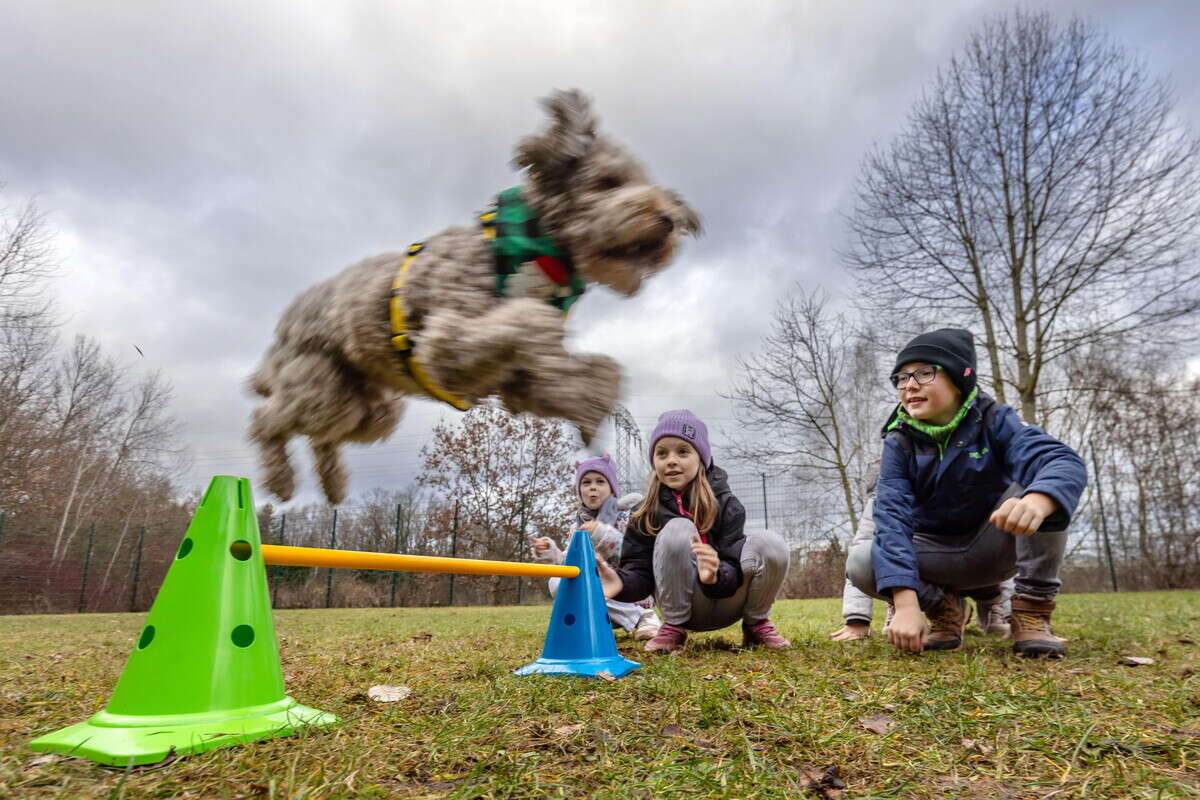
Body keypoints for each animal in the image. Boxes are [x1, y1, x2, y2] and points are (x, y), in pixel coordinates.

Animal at [250, 90, 700, 503]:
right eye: (608, 182)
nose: (669, 218)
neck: (534, 248)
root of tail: (284, 325)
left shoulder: (520, 381)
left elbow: (599, 372)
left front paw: (591, 406)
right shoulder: (446, 343)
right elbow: (531, 321)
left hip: (370, 411)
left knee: (323, 435)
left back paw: (332, 485)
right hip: (319, 385)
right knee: (266, 419)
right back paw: (280, 481)